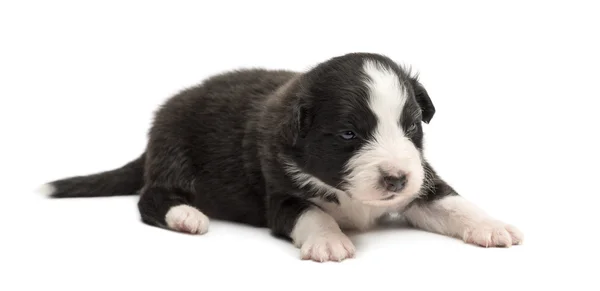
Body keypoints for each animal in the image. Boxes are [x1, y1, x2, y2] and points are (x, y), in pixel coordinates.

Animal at [43, 53, 520, 264]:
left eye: (412, 127)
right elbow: (312, 213)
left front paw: (493, 226)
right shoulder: (281, 193)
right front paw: (329, 240)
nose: (396, 178)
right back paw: (187, 215)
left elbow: (451, 202)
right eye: (348, 134)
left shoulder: (421, 182)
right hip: (174, 154)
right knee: (150, 197)